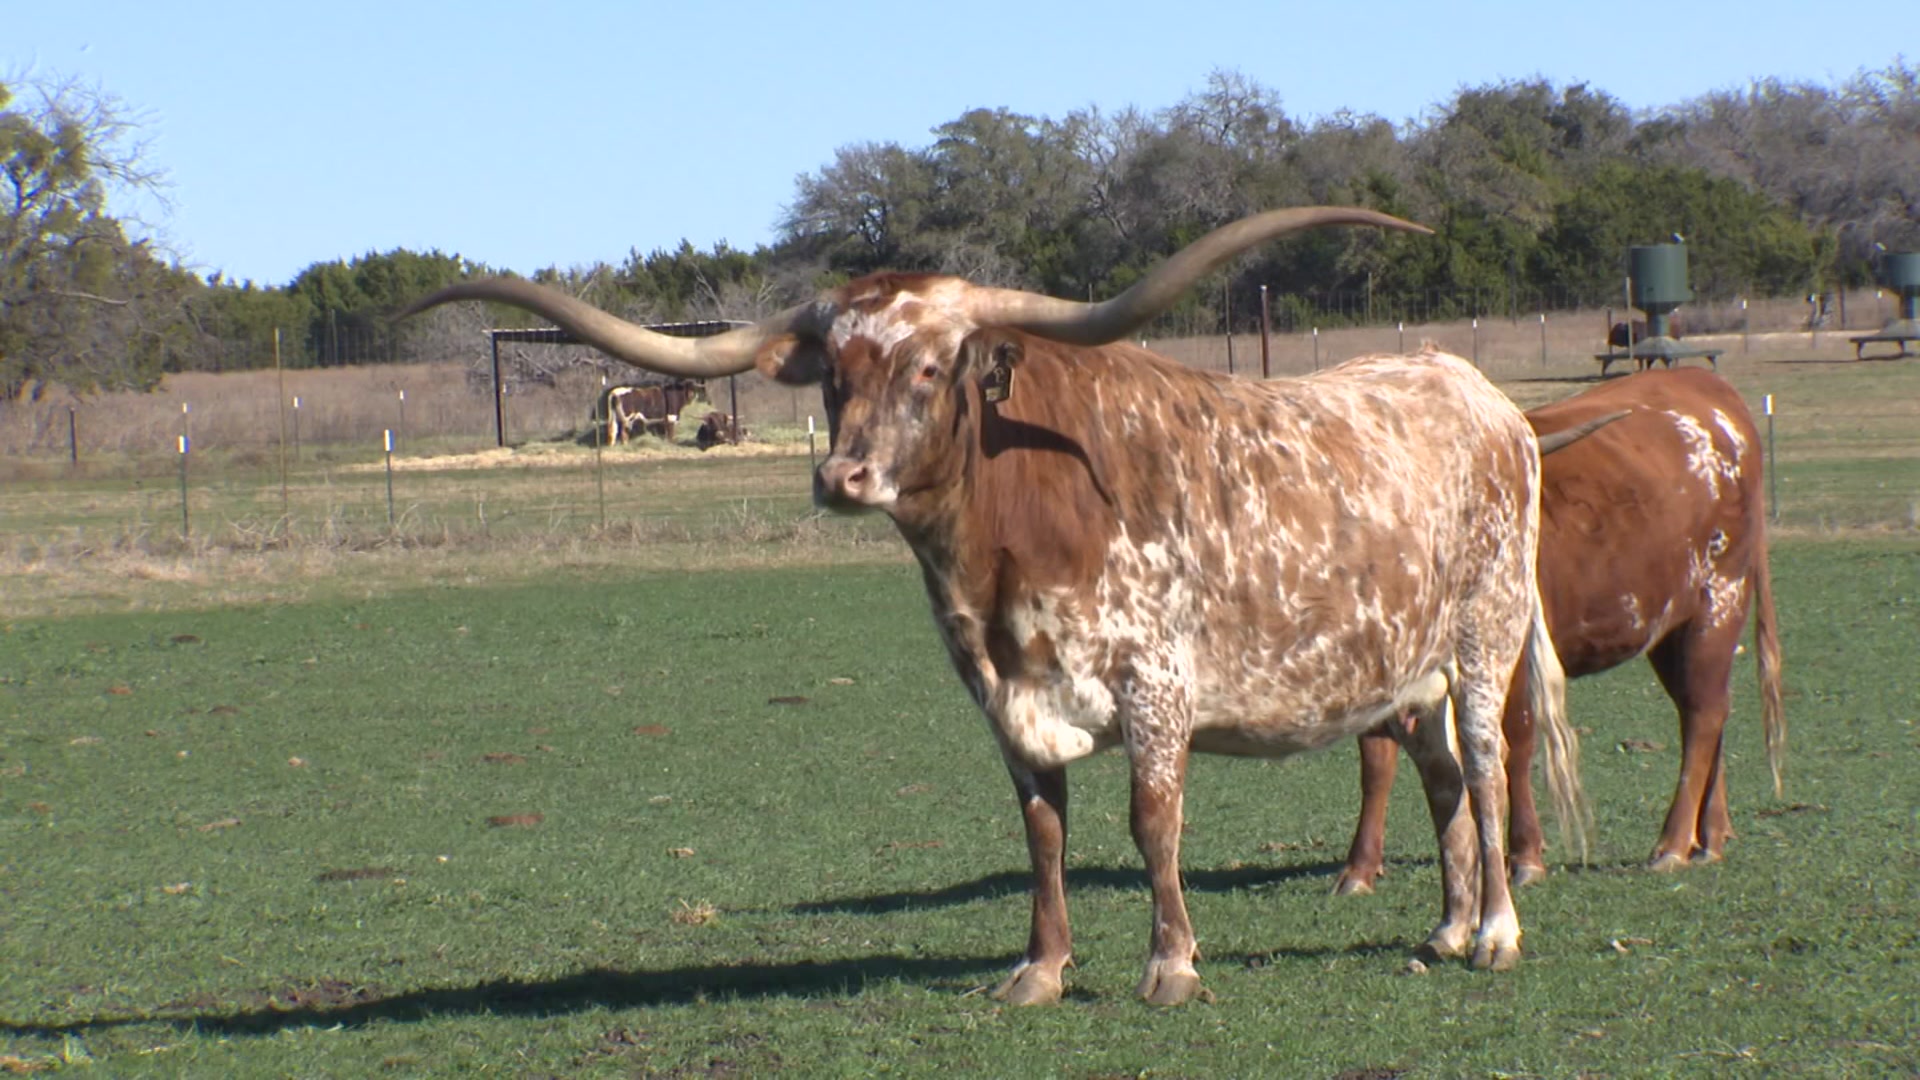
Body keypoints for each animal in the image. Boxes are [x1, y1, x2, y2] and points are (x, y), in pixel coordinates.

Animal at [401, 206, 1589, 1006]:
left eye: (934, 369)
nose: (841, 478)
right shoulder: (1002, 698)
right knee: (1441, 777)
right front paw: (1042, 967)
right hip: (1406, 673)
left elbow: (1150, 820)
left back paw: (1496, 933)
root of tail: (1484, 397)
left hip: (1483, 640)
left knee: (1491, 767)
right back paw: (1444, 928)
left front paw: (1169, 963)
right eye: (831, 374)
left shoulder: (1156, 684)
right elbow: (1042, 829)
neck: (1002, 557)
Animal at [1335, 367, 1784, 895]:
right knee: (1708, 709)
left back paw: (1673, 843)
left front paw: (1525, 854)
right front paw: (1359, 868)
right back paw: (1710, 833)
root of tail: (1708, 384)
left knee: (1704, 714)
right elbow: (1376, 763)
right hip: (1670, 627)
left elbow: (1515, 747)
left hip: (1718, 603)